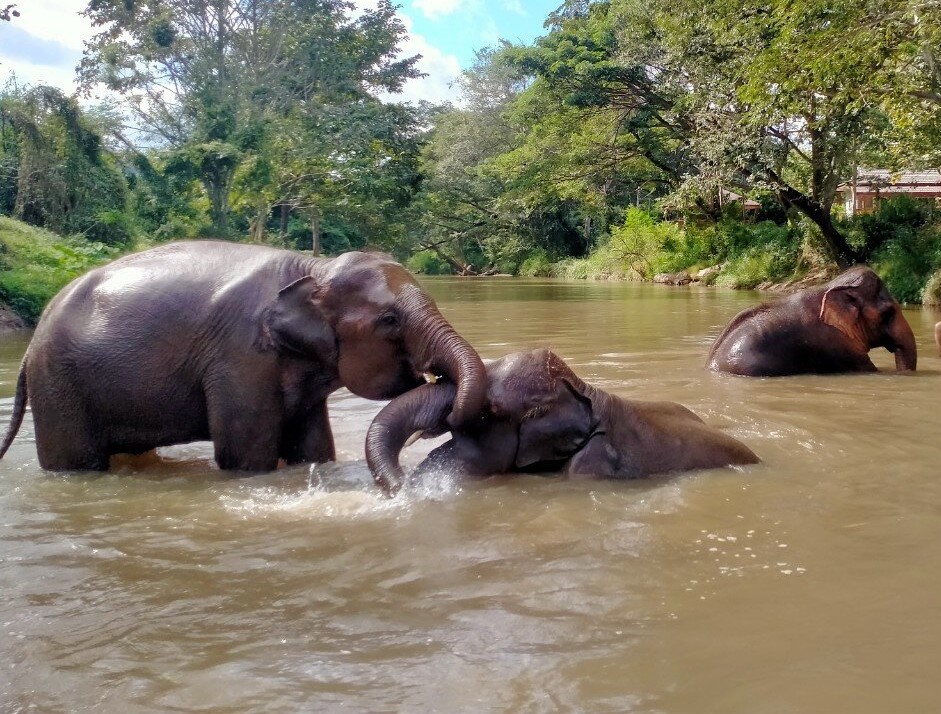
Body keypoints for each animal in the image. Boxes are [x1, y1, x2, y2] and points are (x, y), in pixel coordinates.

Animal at [0, 241, 488, 472]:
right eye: (389, 320)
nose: (443, 421)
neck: (315, 266)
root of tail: (31, 344)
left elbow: (314, 449)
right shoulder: (238, 359)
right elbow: (244, 457)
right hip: (58, 386)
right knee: (75, 462)